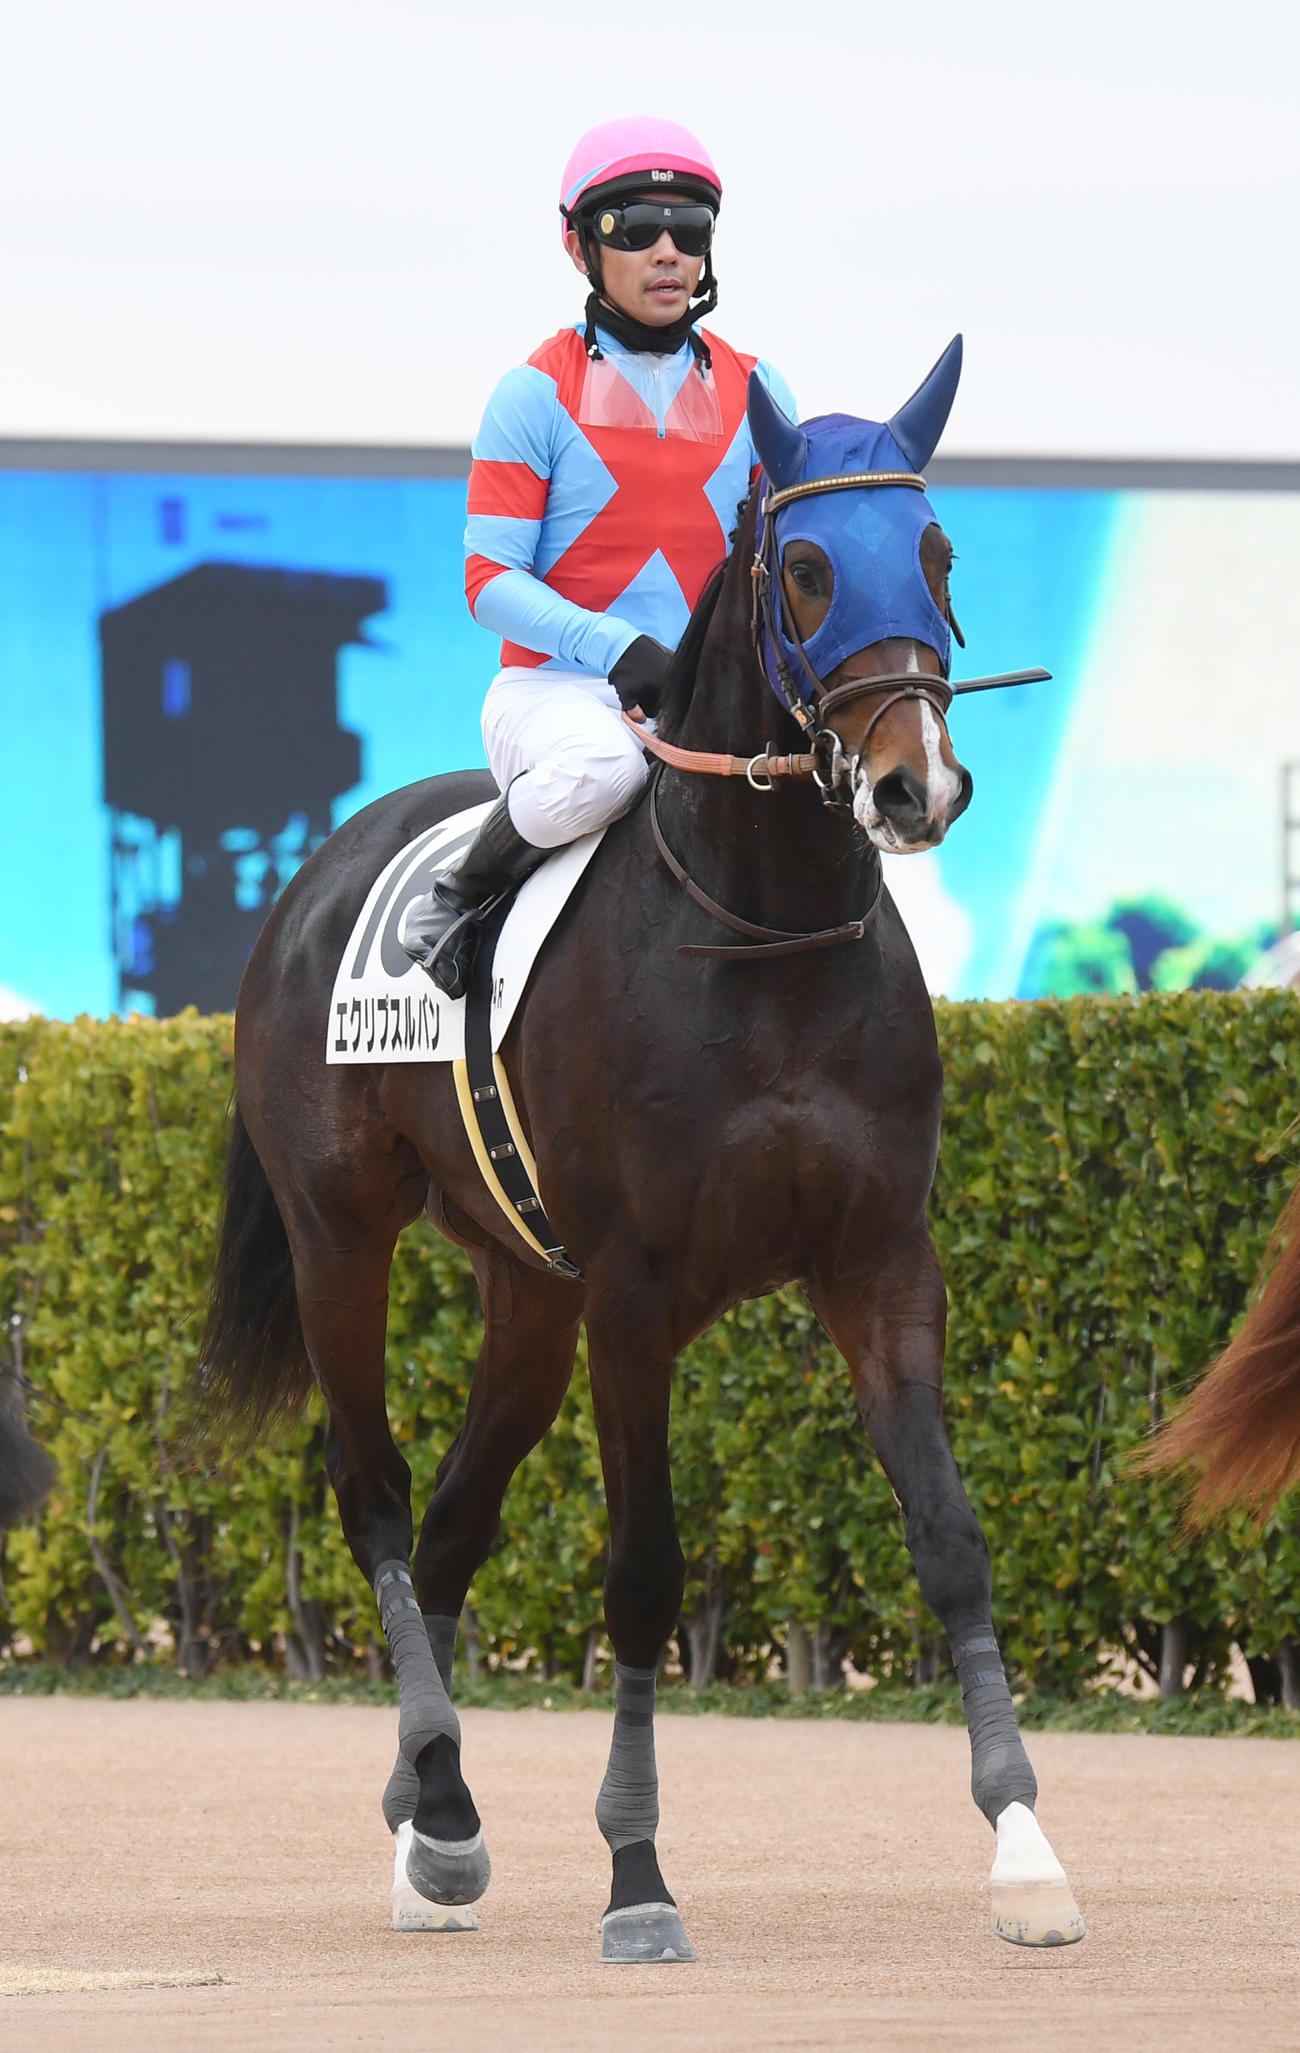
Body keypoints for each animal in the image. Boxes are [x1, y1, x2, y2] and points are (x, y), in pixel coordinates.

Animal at [198, 340, 1085, 1958]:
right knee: (376, 1497)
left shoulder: (880, 1261)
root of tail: (315, 872)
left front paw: (1025, 1851)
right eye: (804, 567)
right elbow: (641, 1573)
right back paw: (443, 1809)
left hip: (527, 1292)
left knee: (452, 1522)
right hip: (342, 1238)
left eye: (935, 549)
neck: (766, 931)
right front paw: (636, 1873)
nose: (913, 786)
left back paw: (428, 1814)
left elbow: (950, 1536)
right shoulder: (634, 1294)